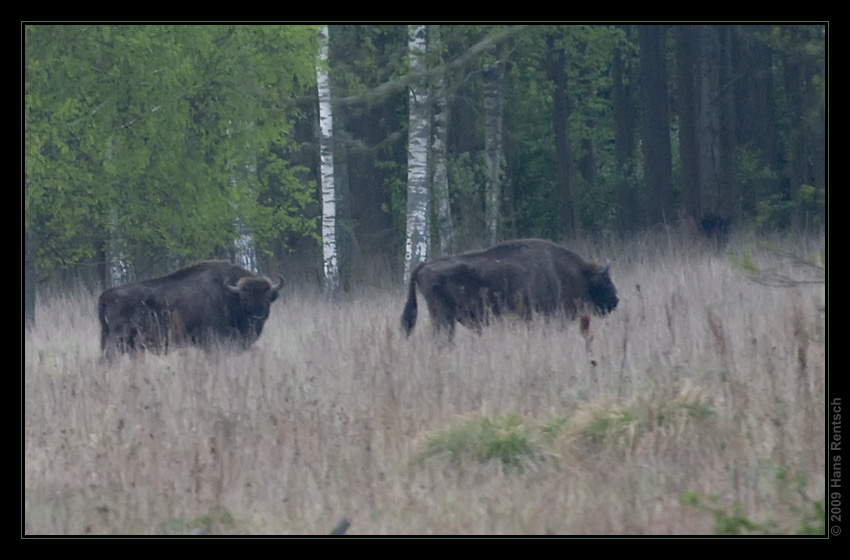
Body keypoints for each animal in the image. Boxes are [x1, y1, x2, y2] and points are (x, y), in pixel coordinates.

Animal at [98, 262, 284, 358]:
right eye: (244, 298)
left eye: (267, 297)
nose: (257, 317)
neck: (229, 296)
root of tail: (106, 294)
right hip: (118, 340)